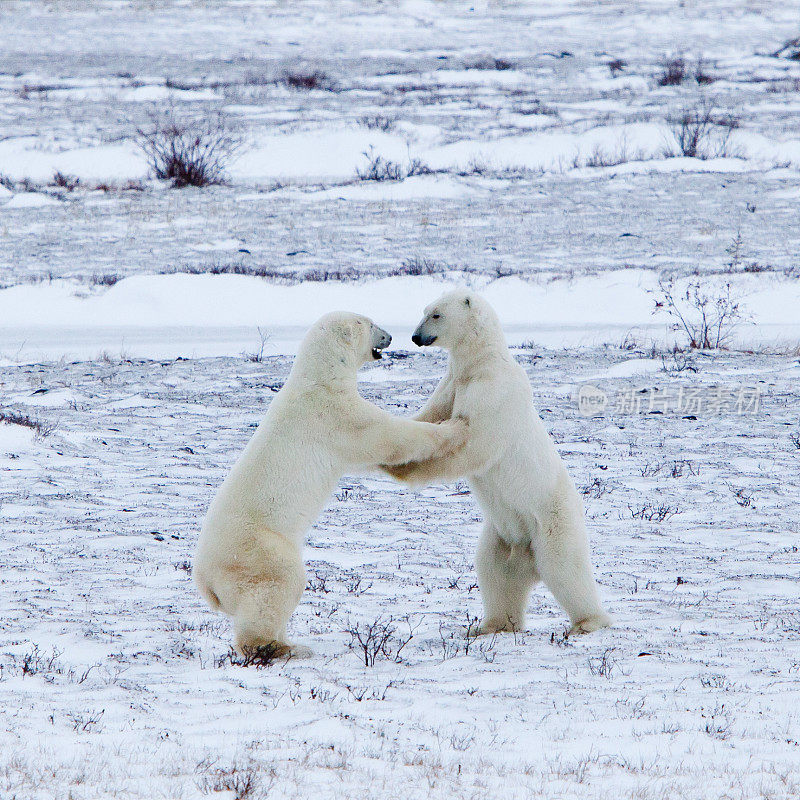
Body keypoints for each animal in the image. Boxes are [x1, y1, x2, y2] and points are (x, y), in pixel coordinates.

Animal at [194, 312, 468, 656]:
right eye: (371, 323)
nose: (391, 336)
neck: (318, 378)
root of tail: (206, 582)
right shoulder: (337, 415)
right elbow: (389, 436)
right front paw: (455, 428)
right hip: (256, 550)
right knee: (277, 585)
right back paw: (283, 648)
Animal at [384, 290, 608, 636]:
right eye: (425, 310)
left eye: (436, 314)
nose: (415, 337)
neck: (480, 363)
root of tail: (527, 558)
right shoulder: (451, 384)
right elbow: (429, 416)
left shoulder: (493, 391)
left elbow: (476, 444)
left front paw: (406, 467)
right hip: (502, 535)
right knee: (495, 573)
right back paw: (491, 625)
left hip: (552, 521)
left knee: (565, 568)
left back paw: (587, 622)